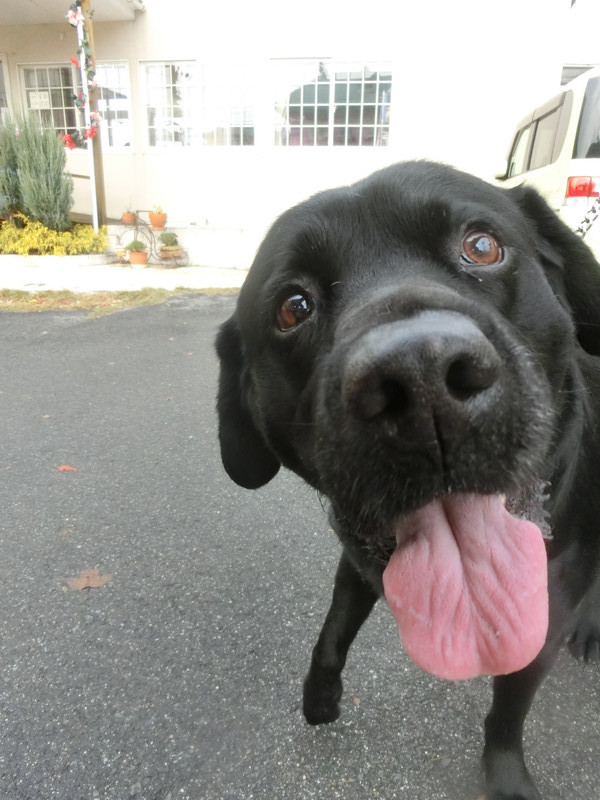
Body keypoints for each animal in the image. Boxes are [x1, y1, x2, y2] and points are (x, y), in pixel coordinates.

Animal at [215, 161, 600, 800]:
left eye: (481, 245)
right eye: (294, 306)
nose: (422, 382)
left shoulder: (539, 622)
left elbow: (507, 711)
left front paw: (505, 776)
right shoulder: (359, 559)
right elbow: (333, 631)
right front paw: (319, 695)